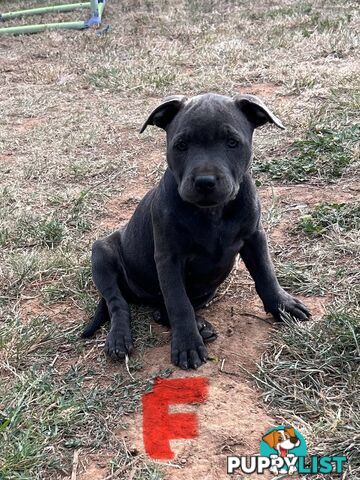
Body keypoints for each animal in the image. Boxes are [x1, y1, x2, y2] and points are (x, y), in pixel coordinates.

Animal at [82, 94, 310, 372]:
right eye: (181, 145)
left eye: (232, 142)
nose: (204, 182)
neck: (212, 213)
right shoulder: (169, 258)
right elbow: (179, 302)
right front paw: (188, 344)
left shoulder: (255, 237)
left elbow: (266, 274)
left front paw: (283, 305)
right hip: (101, 252)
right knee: (118, 302)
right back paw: (120, 337)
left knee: (161, 310)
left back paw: (200, 325)